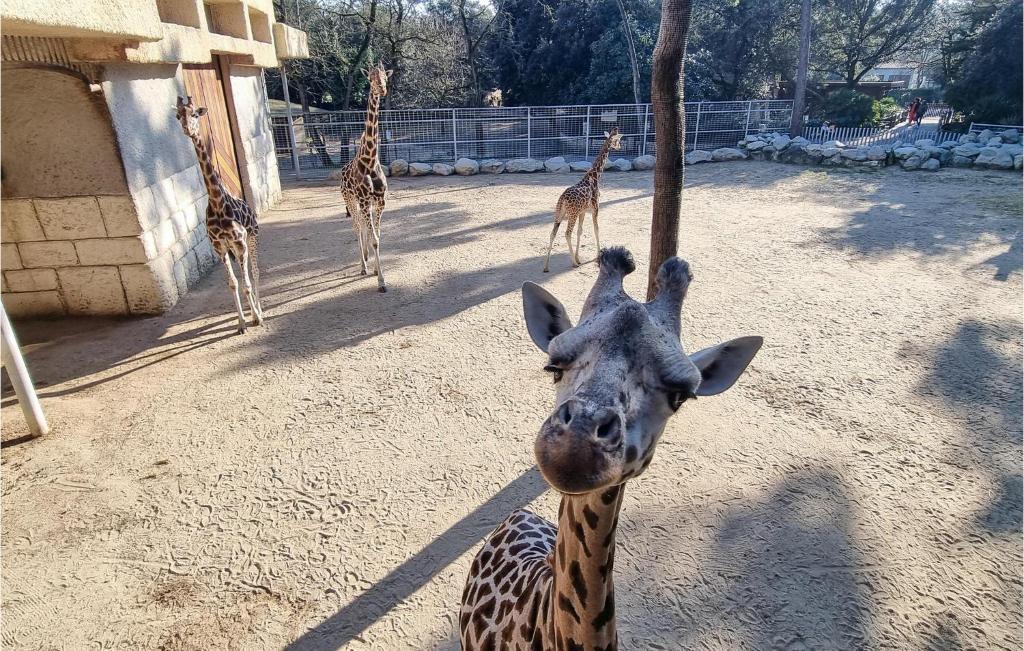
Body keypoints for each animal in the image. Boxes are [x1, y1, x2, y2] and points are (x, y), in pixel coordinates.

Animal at [173, 96, 262, 335]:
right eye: (177, 115)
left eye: (195, 113)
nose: (188, 129)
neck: (218, 204)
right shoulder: (219, 246)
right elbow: (233, 283)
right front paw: (241, 323)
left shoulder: (240, 242)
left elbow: (247, 281)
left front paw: (256, 318)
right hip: (233, 248)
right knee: (244, 275)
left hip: (251, 238)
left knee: (255, 272)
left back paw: (260, 310)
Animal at [544, 126, 622, 272]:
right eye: (617, 140)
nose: (620, 147)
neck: (595, 176)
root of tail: (562, 199)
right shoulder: (595, 210)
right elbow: (596, 230)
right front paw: (597, 256)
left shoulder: (583, 212)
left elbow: (580, 232)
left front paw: (579, 257)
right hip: (572, 214)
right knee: (567, 233)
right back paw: (573, 263)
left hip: (559, 213)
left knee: (553, 233)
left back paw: (546, 266)